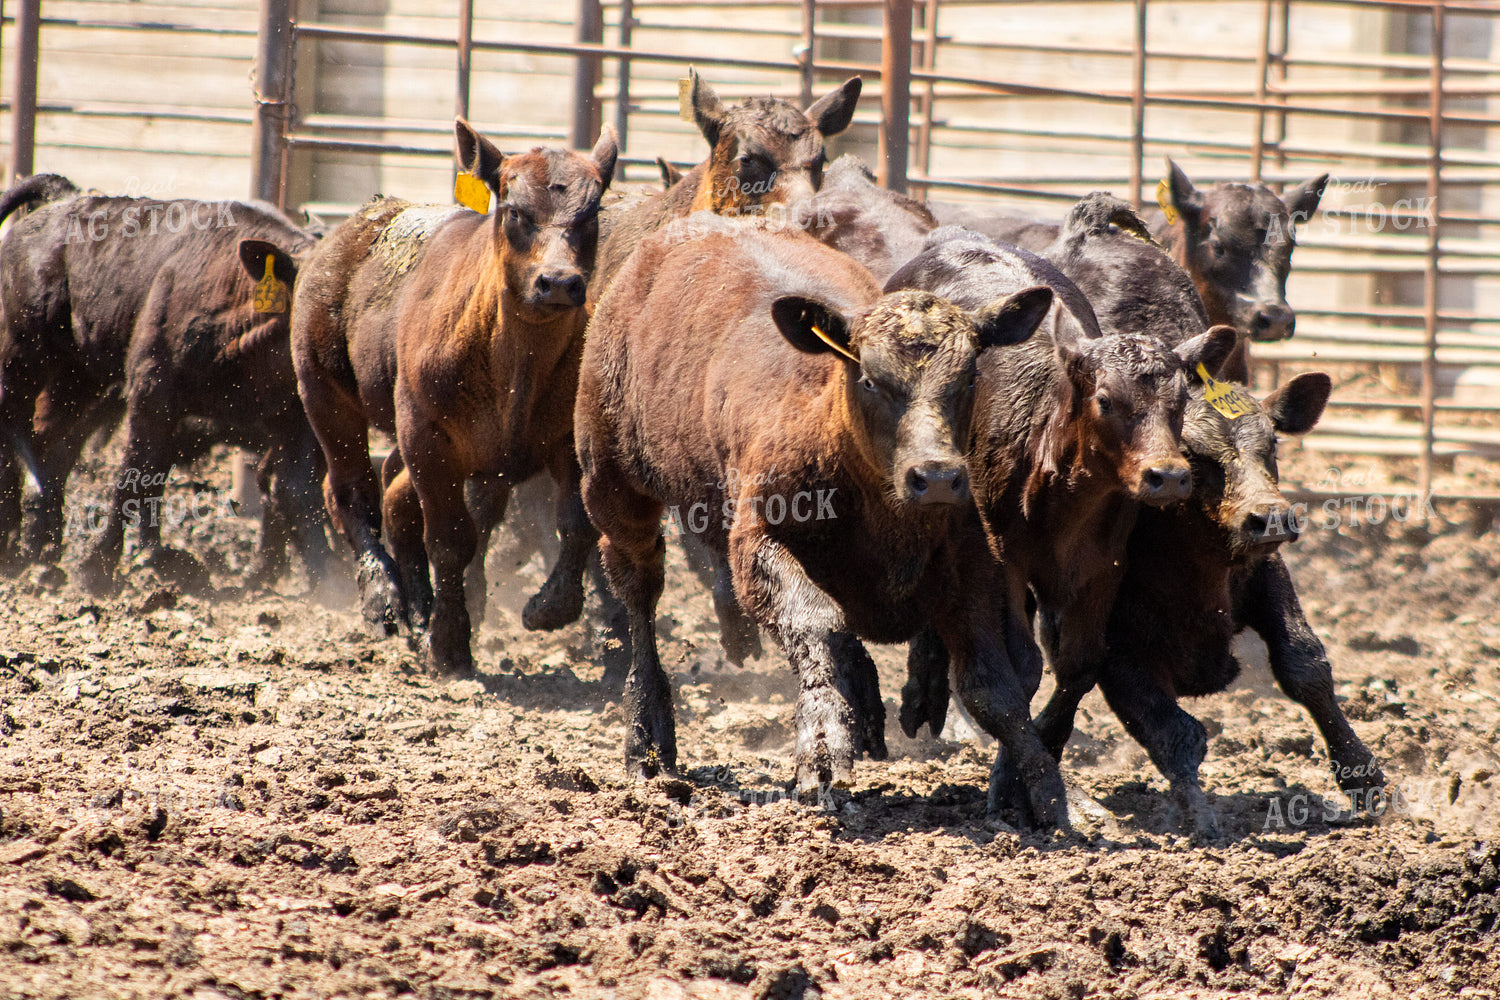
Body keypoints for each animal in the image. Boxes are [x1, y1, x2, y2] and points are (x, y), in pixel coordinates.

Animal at [0, 175, 332, 593]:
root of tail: (65, 199)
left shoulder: (291, 417)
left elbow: (298, 490)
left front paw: (327, 579)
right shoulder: (151, 392)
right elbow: (134, 477)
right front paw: (97, 567)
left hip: (78, 377)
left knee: (51, 448)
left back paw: (42, 549)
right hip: (22, 354)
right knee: (16, 427)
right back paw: (15, 543)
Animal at [292, 121, 617, 676]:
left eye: (590, 213)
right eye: (515, 211)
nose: (558, 282)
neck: (516, 362)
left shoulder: (568, 442)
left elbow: (576, 524)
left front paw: (550, 605)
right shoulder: (428, 438)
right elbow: (449, 538)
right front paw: (448, 642)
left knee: (395, 492)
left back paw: (416, 605)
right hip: (324, 393)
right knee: (353, 490)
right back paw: (383, 599)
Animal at [577, 213, 1066, 822]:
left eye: (969, 379)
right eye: (870, 380)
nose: (936, 478)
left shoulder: (974, 567)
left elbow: (991, 686)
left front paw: (1043, 792)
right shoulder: (759, 542)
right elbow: (816, 623)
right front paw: (822, 753)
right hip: (612, 483)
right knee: (639, 592)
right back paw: (647, 738)